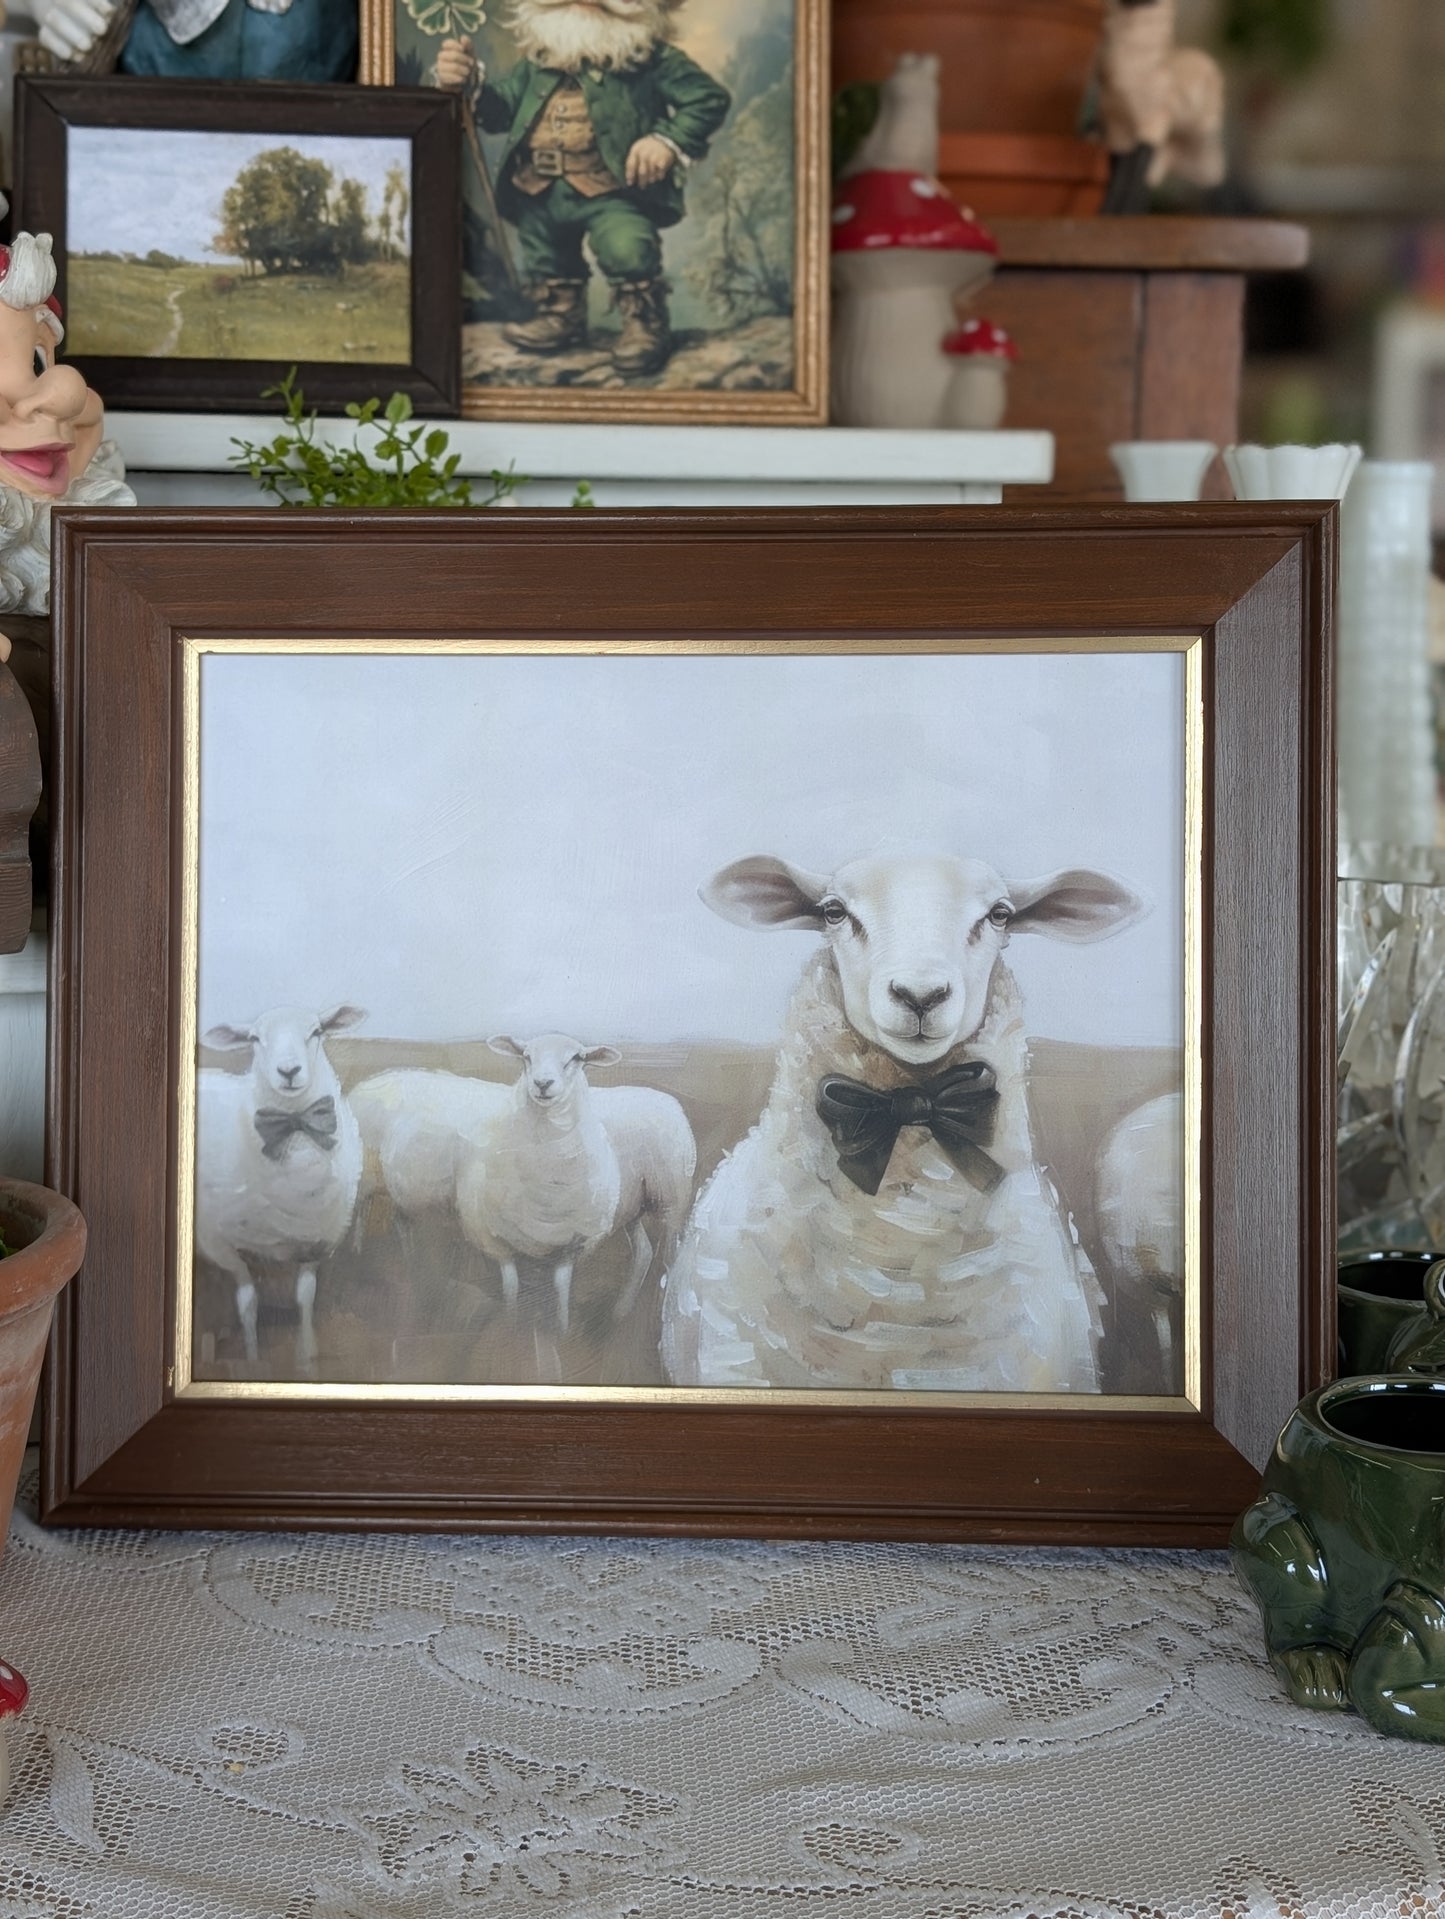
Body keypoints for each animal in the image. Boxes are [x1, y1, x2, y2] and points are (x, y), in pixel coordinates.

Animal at [195, 1005, 366, 1381]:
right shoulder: (219, 1245)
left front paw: (307, 1359)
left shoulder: (317, 1242)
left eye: (317, 1031)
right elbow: (248, 1303)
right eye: (254, 1038)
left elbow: (305, 1297)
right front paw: (252, 1360)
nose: (288, 1071)